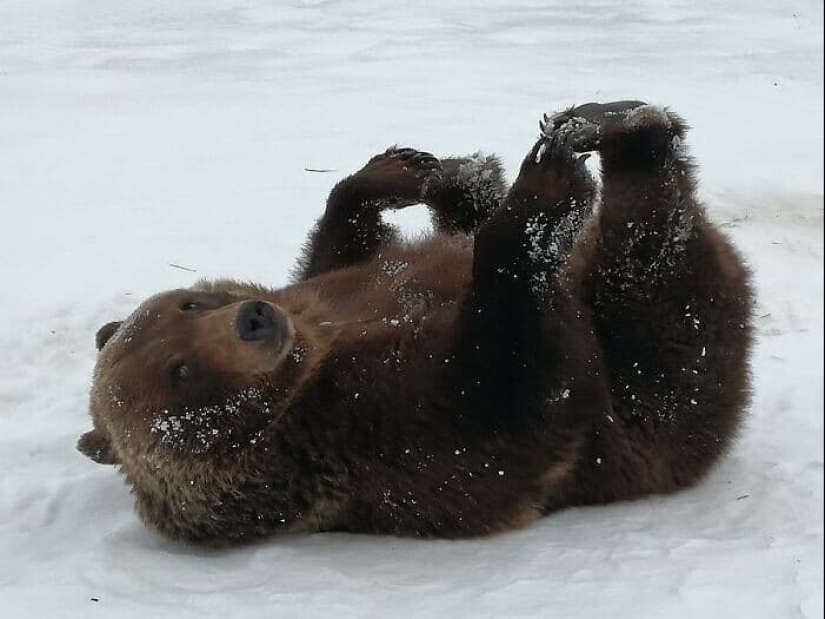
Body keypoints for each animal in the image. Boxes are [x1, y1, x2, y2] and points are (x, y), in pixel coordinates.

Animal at [79, 101, 753, 545]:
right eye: (180, 372)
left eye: (186, 306)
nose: (253, 319)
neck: (314, 351)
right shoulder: (368, 430)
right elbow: (508, 390)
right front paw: (543, 190)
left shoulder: (332, 291)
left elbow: (346, 243)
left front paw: (405, 169)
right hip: (669, 380)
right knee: (649, 259)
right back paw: (620, 149)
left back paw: (578, 131)